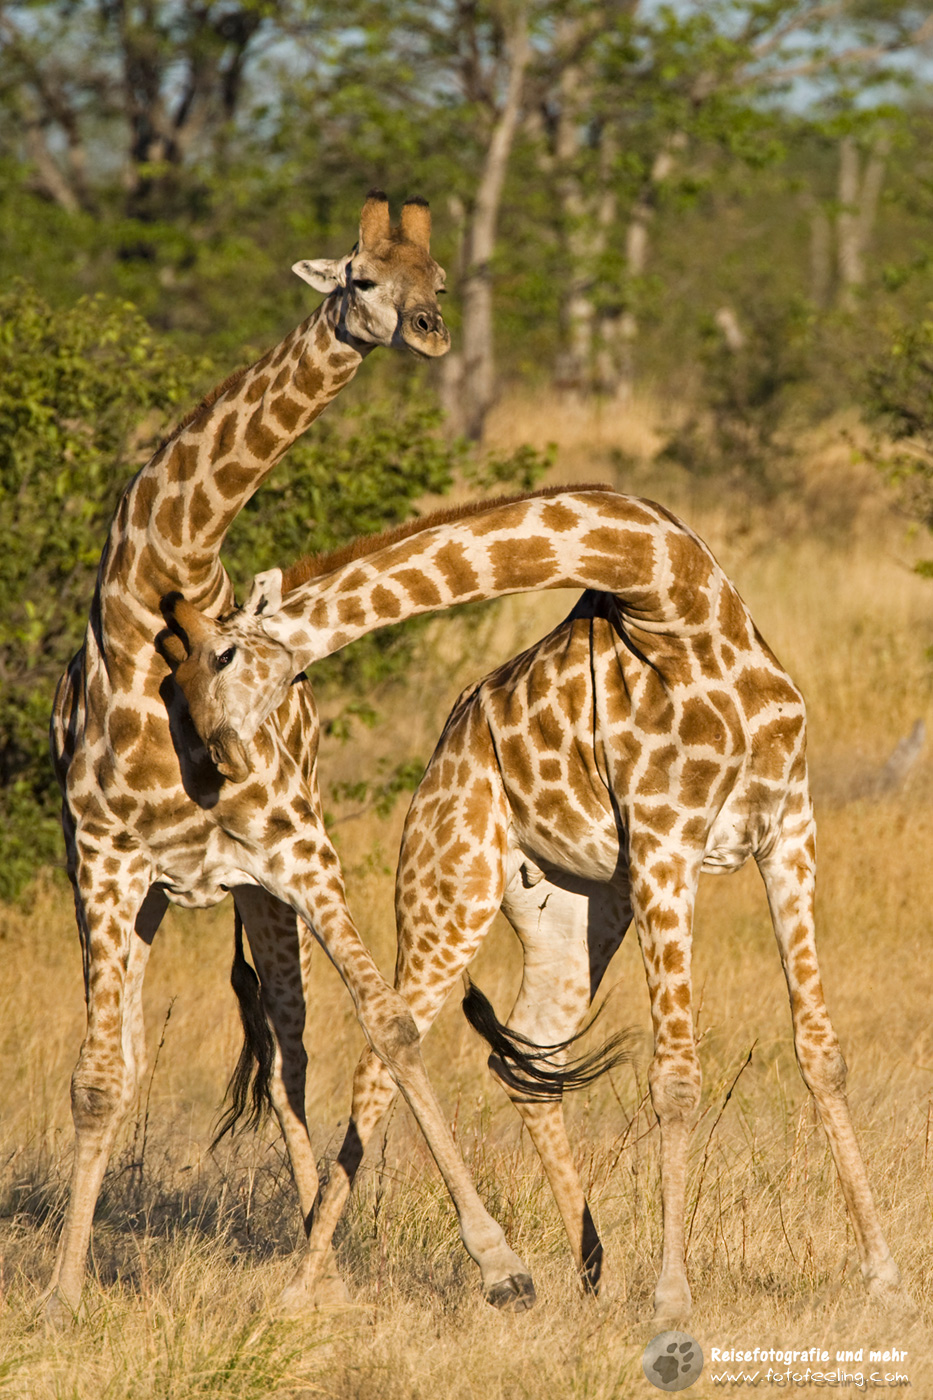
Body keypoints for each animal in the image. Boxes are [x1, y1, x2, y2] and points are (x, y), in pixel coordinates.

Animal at [45, 191, 539, 1324]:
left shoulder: (297, 850)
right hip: (161, 895)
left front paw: (499, 1260)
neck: (156, 587)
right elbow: (99, 1078)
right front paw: (59, 1292)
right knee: (198, 1056)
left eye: (438, 277)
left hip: (259, 887)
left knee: (293, 1048)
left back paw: (325, 1244)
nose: (428, 331)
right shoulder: (100, 860)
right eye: (358, 276)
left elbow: (390, 1025)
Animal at [167, 485, 902, 1321]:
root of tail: (433, 783)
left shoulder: (787, 828)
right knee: (383, 1057)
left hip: (577, 912)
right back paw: (310, 1283)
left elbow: (821, 1053)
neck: (674, 598)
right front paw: (672, 1298)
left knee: (525, 1051)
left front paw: (883, 1276)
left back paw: (591, 1269)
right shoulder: (665, 839)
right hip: (448, 893)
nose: (217, 760)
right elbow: (677, 1078)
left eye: (221, 657)